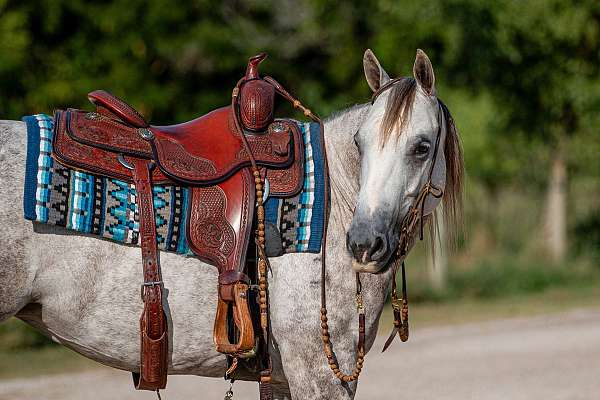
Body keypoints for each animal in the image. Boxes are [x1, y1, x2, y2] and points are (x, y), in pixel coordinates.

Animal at [0, 50, 464, 400]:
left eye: (422, 147)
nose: (364, 243)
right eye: (360, 143)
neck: (338, 201)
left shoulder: (285, 377)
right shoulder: (319, 373)